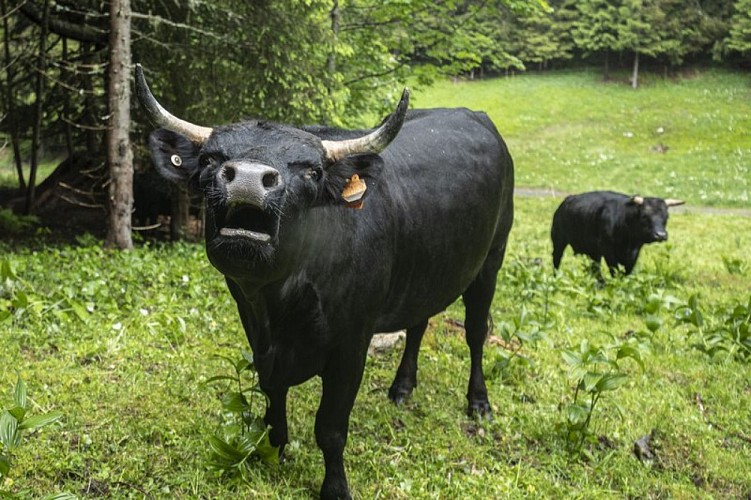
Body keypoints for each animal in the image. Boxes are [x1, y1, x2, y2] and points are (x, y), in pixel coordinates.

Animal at [135, 64, 514, 499]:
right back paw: (402, 387)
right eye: (212, 160)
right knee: (419, 323)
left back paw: (478, 402)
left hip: (491, 261)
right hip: (427, 270)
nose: (247, 178)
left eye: (311, 171)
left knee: (475, 332)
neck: (280, 306)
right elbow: (271, 396)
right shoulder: (256, 333)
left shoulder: (351, 346)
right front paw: (275, 447)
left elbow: (330, 429)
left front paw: (334, 487)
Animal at [551, 190, 684, 278]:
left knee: (595, 268)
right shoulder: (608, 251)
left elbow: (627, 272)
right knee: (556, 260)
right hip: (558, 241)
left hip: (594, 251)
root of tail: (566, 201)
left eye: (666, 217)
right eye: (644, 216)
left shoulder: (634, 252)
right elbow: (614, 271)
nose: (660, 235)